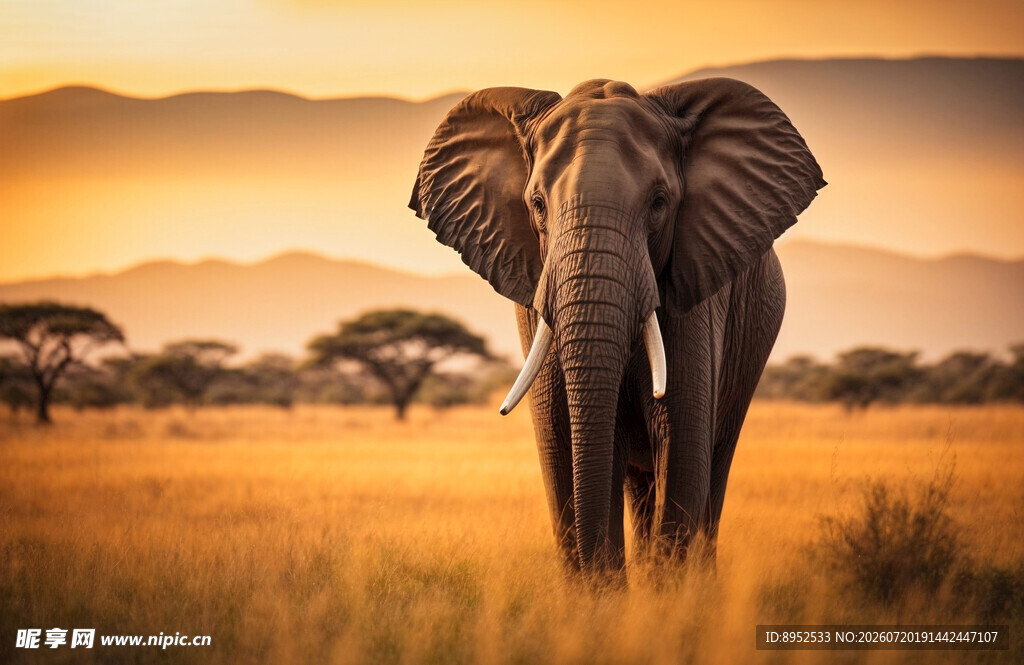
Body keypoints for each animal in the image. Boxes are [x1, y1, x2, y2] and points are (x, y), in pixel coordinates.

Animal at [409, 78, 825, 578]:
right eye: (537, 205)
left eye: (659, 203)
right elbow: (562, 452)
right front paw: (602, 590)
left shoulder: (696, 287)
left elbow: (681, 451)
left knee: (711, 472)